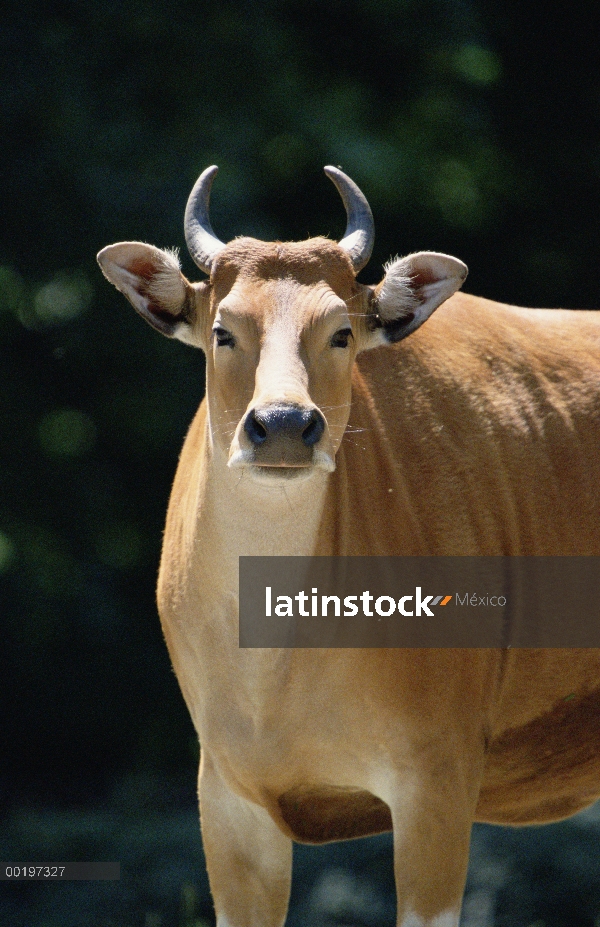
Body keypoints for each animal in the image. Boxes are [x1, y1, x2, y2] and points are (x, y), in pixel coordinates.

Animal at [97, 169, 600, 927]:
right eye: (222, 330)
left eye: (341, 331)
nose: (282, 424)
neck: (278, 665)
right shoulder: (228, 800)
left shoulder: (437, 782)